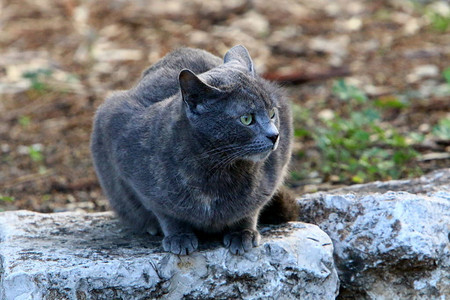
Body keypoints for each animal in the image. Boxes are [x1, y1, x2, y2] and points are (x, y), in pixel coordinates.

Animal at [91, 45, 296, 255]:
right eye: (246, 119)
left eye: (272, 113)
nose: (274, 135)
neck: (217, 168)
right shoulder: (134, 168)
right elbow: (167, 214)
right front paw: (179, 237)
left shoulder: (269, 182)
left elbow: (249, 210)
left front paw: (242, 233)